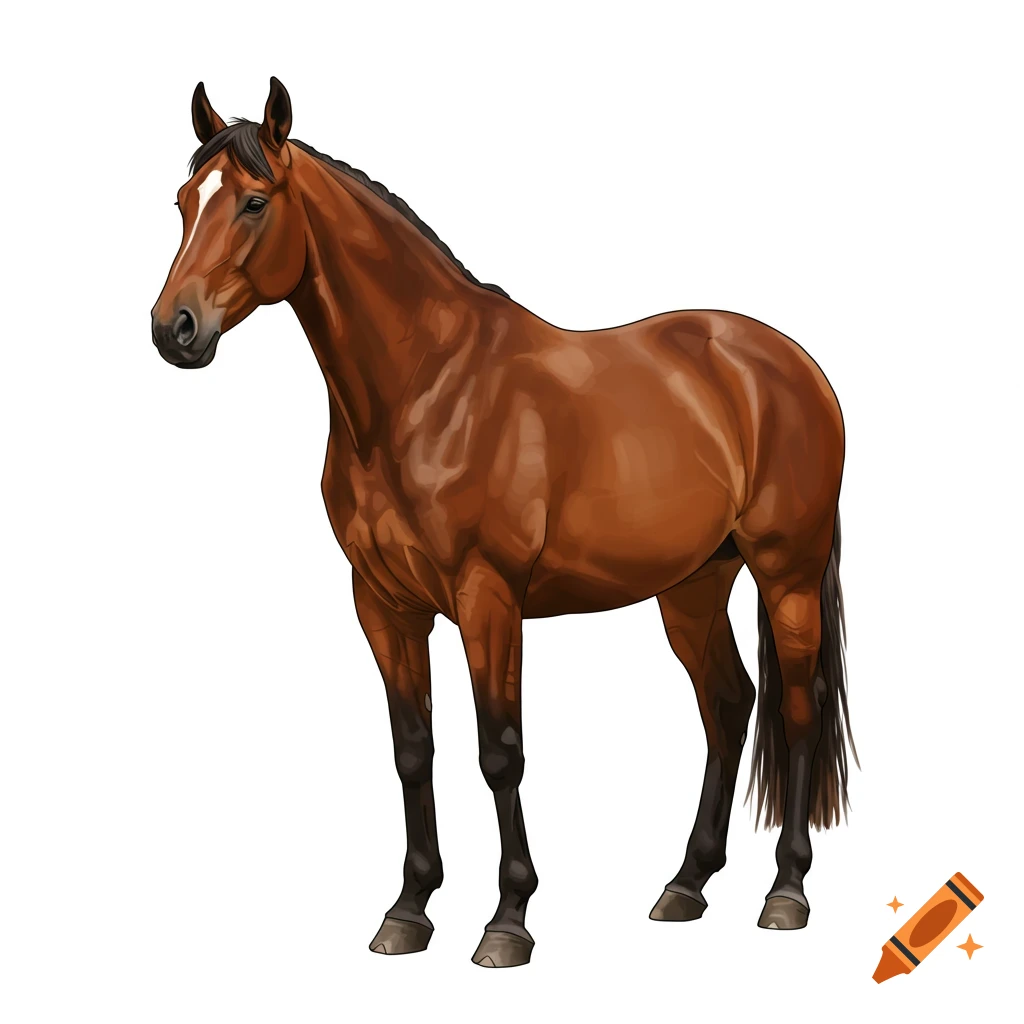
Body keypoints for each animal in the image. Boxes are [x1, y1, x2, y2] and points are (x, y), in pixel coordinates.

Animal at [151, 77, 856, 968]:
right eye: (182, 202)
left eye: (252, 201)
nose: (172, 329)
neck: (425, 388)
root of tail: (788, 364)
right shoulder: (384, 605)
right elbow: (412, 750)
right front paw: (408, 910)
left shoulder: (488, 599)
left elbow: (500, 751)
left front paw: (507, 920)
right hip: (693, 586)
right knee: (729, 706)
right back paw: (685, 886)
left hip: (785, 571)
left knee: (796, 708)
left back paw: (786, 892)